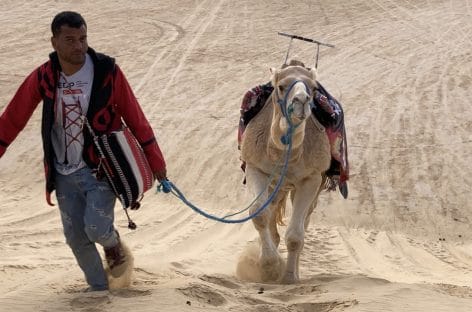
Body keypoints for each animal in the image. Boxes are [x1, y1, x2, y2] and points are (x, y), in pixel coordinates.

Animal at [240, 60, 332, 282]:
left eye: (313, 88)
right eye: (281, 87)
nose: (301, 100)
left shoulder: (311, 178)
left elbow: (296, 236)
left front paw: (288, 277)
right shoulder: (256, 168)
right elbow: (258, 213)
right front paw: (269, 266)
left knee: (304, 223)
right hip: (278, 187)